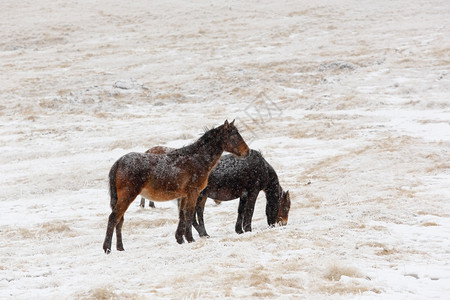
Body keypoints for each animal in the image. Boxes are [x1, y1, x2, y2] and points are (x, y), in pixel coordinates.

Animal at [103, 119, 250, 253]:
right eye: (233, 136)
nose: (247, 152)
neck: (197, 159)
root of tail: (118, 162)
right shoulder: (193, 193)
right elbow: (189, 214)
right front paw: (190, 239)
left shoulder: (183, 195)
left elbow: (182, 215)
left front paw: (180, 239)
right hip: (127, 196)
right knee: (113, 218)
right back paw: (107, 248)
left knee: (119, 221)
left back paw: (120, 247)